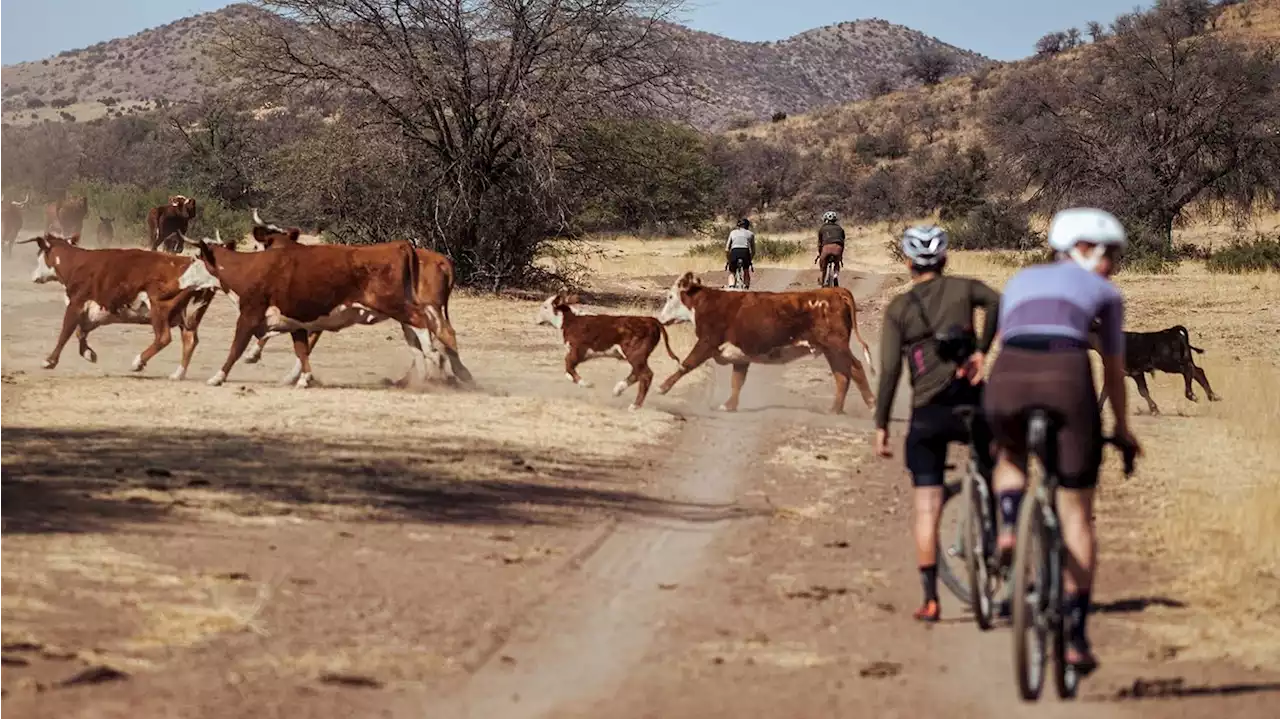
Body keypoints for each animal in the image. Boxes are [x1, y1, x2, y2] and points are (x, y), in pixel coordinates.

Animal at [19, 234, 217, 381]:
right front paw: (89, 353)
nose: (34, 276)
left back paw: (138, 362)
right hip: (187, 316)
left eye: (39, 255)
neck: (77, 263)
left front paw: (50, 361)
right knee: (190, 339)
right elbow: (80, 332)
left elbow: (66, 332)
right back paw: (178, 373)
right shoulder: (96, 312)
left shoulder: (75, 305)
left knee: (163, 337)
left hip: (159, 308)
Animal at [175, 227, 455, 386]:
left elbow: (236, 347)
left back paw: (435, 358)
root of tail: (401, 245)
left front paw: (218, 376)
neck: (250, 267)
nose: (180, 280)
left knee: (423, 324)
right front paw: (304, 378)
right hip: (399, 308)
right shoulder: (295, 320)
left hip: (394, 304)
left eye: (196, 258)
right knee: (417, 334)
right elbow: (301, 349)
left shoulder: (249, 315)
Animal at [655, 269, 875, 414]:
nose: (660, 318)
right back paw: (835, 409)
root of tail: (835, 292)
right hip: (830, 350)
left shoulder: (707, 343)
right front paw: (729, 405)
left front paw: (662, 388)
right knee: (842, 375)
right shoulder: (740, 355)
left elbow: (686, 364)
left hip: (837, 346)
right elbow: (737, 381)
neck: (708, 304)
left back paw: (871, 404)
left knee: (855, 368)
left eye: (670, 296)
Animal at [1095, 324, 1223, 414]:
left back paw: (1191, 395)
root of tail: (1173, 331)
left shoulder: (1134, 372)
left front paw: (1154, 410)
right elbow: (1107, 391)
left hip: (1170, 364)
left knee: (1188, 371)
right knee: (1197, 371)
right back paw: (1213, 396)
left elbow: (1142, 391)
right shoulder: (1129, 373)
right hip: (1184, 360)